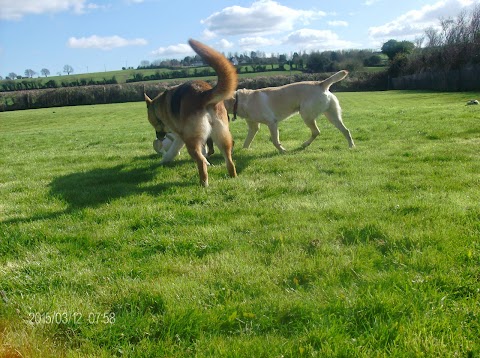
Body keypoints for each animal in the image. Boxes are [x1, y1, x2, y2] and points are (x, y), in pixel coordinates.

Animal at [144, 39, 238, 187]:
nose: (158, 137)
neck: (159, 106)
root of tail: (203, 94)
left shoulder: (180, 137)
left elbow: (172, 150)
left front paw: (164, 160)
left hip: (192, 141)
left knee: (200, 161)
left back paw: (203, 182)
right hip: (222, 136)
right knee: (229, 159)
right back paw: (233, 177)